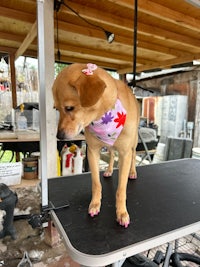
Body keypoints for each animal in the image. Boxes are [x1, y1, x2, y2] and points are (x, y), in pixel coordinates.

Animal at [52, 62, 139, 228]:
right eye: (56, 109)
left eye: (69, 108)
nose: (59, 136)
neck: (104, 115)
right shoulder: (92, 151)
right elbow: (96, 183)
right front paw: (95, 204)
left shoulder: (125, 153)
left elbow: (121, 189)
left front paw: (121, 212)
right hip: (109, 146)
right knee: (111, 154)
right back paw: (109, 170)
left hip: (134, 142)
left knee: (133, 156)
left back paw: (132, 172)